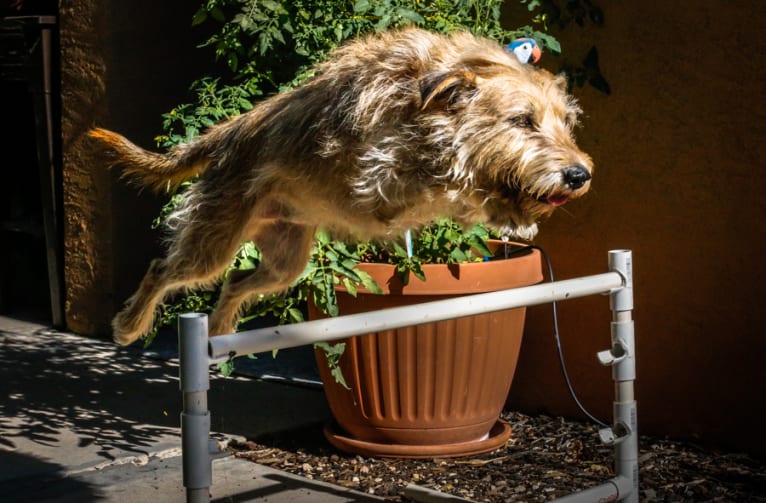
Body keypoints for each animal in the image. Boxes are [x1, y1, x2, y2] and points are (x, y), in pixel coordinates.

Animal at [88, 26, 592, 346]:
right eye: (522, 121)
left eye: (566, 123)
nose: (579, 175)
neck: (418, 99)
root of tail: (230, 130)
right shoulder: (383, 179)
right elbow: (453, 178)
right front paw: (500, 199)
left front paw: (515, 213)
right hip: (210, 245)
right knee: (162, 269)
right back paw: (130, 325)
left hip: (285, 261)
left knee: (235, 282)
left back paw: (218, 332)